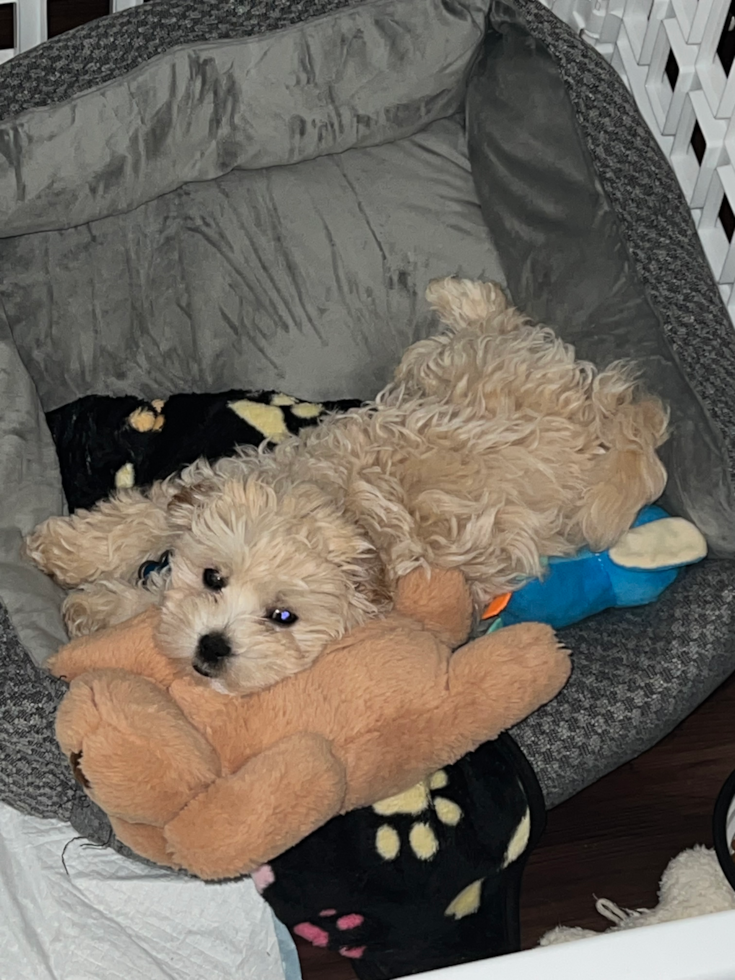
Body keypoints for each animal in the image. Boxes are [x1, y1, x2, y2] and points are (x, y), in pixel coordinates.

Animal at [23, 282, 668, 696]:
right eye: (213, 578)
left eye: (283, 617)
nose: (212, 647)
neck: (339, 505)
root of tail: (610, 408)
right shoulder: (222, 481)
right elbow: (143, 517)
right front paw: (69, 555)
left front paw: (100, 605)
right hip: (453, 373)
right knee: (493, 328)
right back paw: (461, 296)